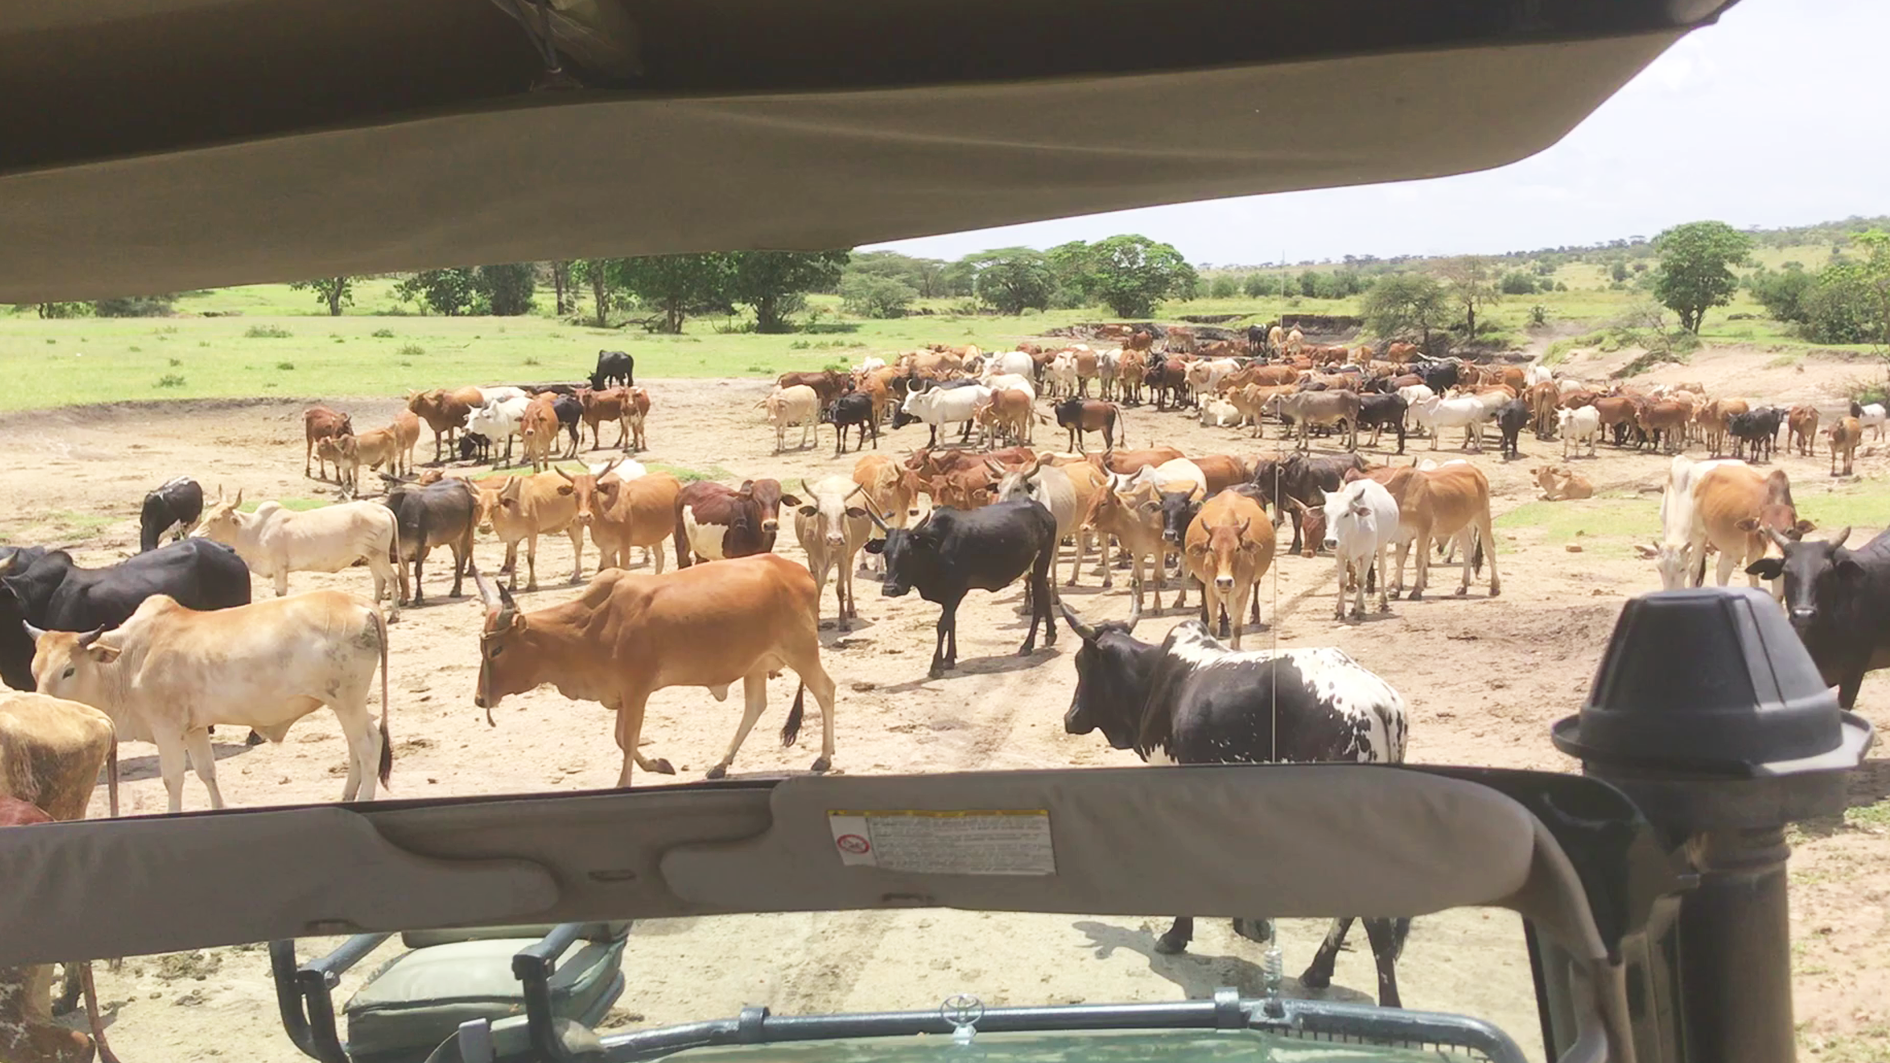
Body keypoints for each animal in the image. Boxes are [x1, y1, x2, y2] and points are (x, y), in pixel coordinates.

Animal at [865, 499, 1058, 677]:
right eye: (886, 552)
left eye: (909, 552)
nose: (889, 589)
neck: (936, 548)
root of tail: (1042, 510)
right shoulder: (948, 598)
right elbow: (951, 623)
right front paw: (949, 659)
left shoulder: (955, 593)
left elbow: (942, 625)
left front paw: (936, 666)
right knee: (1045, 590)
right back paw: (1050, 635)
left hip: (1040, 563)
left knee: (1039, 599)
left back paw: (1027, 645)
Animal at [1058, 601, 1413, 1006]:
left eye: (1081, 664)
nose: (1070, 717)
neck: (1155, 680)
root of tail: (1382, 704)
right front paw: (1248, 923)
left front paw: (1177, 934)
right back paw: (1318, 971)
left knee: (1374, 920)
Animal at [1330, 476, 1406, 616]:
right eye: (1325, 513)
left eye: (1346, 514)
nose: (1330, 541)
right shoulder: (1340, 555)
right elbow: (1343, 581)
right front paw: (1340, 611)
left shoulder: (1368, 554)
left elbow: (1361, 580)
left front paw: (1361, 610)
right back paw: (1355, 607)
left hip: (1382, 545)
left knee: (1381, 570)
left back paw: (1383, 602)